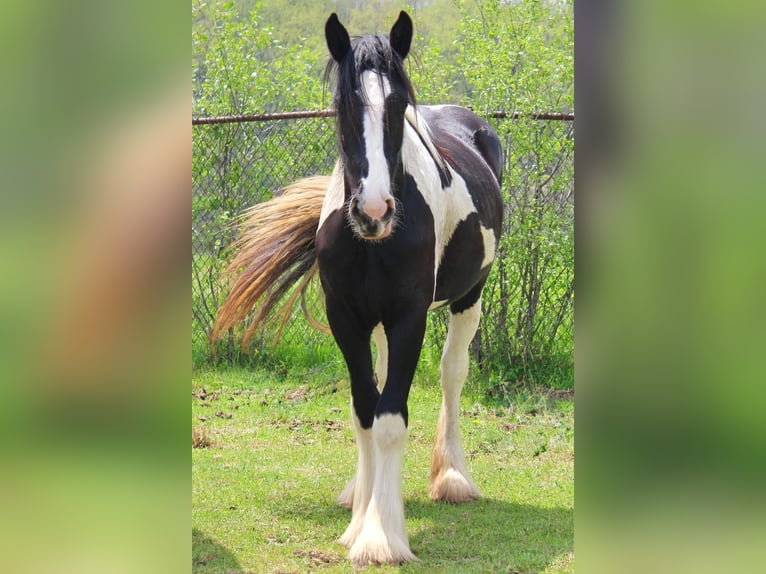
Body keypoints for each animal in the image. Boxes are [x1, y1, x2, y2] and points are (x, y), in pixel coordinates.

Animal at [212, 11, 503, 566]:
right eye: (343, 104)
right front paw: (361, 518)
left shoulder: (409, 316)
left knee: (452, 374)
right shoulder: (347, 317)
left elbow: (390, 418)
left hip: (468, 296)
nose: (374, 211)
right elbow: (365, 409)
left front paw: (381, 537)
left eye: (398, 105)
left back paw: (453, 477)